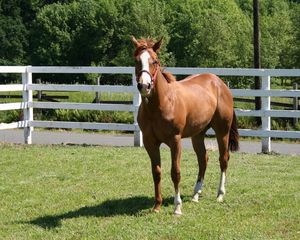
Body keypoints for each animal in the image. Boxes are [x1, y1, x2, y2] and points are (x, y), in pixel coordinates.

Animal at [131, 36, 239, 216]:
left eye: (155, 60)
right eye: (137, 60)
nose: (144, 86)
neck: (161, 104)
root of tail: (220, 83)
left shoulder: (175, 141)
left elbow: (175, 172)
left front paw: (177, 207)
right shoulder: (150, 142)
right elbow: (156, 172)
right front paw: (157, 205)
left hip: (222, 131)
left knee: (223, 159)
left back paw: (220, 194)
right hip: (198, 135)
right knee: (203, 160)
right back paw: (195, 194)